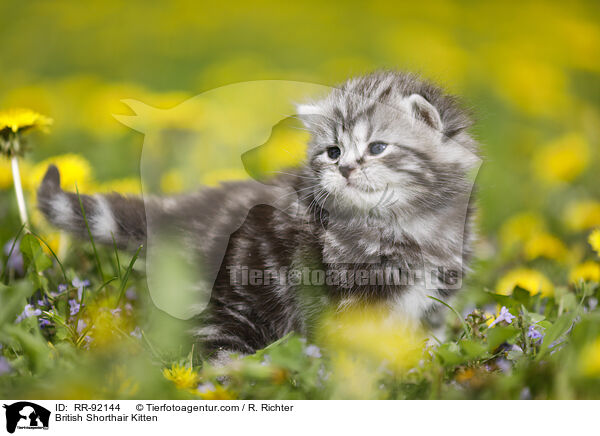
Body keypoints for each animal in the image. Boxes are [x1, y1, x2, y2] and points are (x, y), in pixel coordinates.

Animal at [38, 70, 478, 362]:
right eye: (333, 152)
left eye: (378, 147)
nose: (345, 169)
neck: (407, 225)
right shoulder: (343, 297)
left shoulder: (436, 295)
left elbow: (429, 333)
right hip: (225, 307)